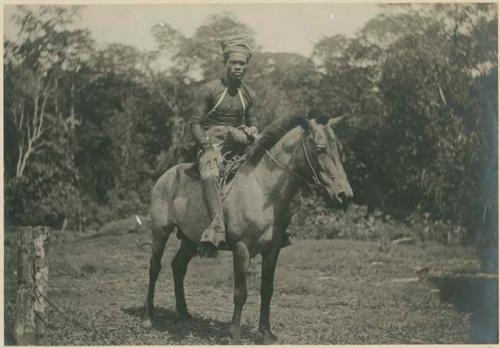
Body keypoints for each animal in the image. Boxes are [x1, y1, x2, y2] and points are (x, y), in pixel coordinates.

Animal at [143, 113, 354, 342]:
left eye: (338, 149)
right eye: (320, 148)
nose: (344, 195)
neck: (263, 190)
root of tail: (165, 176)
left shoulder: (272, 250)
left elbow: (266, 289)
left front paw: (266, 333)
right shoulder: (241, 249)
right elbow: (240, 293)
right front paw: (234, 335)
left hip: (191, 240)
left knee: (178, 267)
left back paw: (183, 313)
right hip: (160, 232)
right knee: (154, 268)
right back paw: (149, 316)